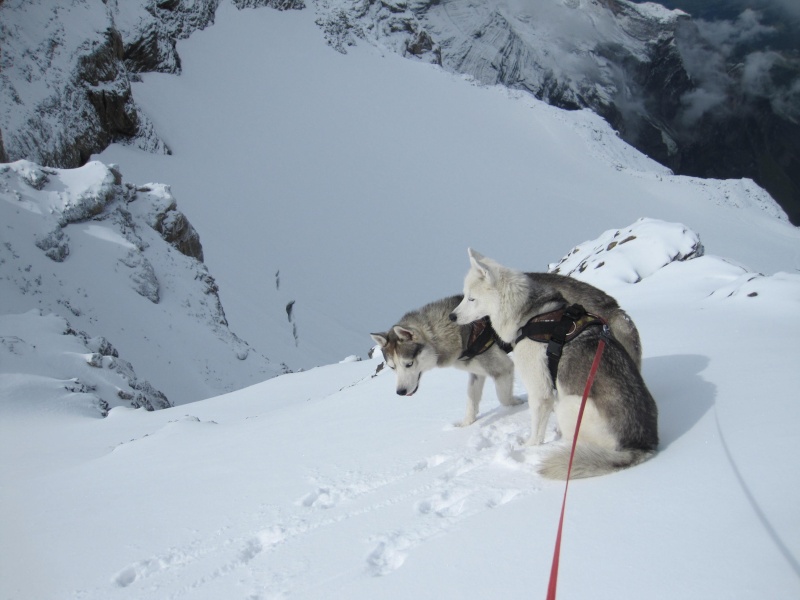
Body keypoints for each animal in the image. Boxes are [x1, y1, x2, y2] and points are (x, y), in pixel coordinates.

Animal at [370, 270, 644, 428]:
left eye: (408, 364)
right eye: (392, 368)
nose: (400, 392)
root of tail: (610, 304)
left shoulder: (503, 367)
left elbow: (503, 397)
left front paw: (515, 404)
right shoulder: (476, 372)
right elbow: (471, 401)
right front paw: (467, 424)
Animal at [450, 248, 656, 478]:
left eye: (471, 298)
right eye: (465, 296)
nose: (451, 316)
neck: (530, 316)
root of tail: (641, 445)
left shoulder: (540, 391)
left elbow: (536, 430)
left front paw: (529, 446)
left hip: (568, 404)